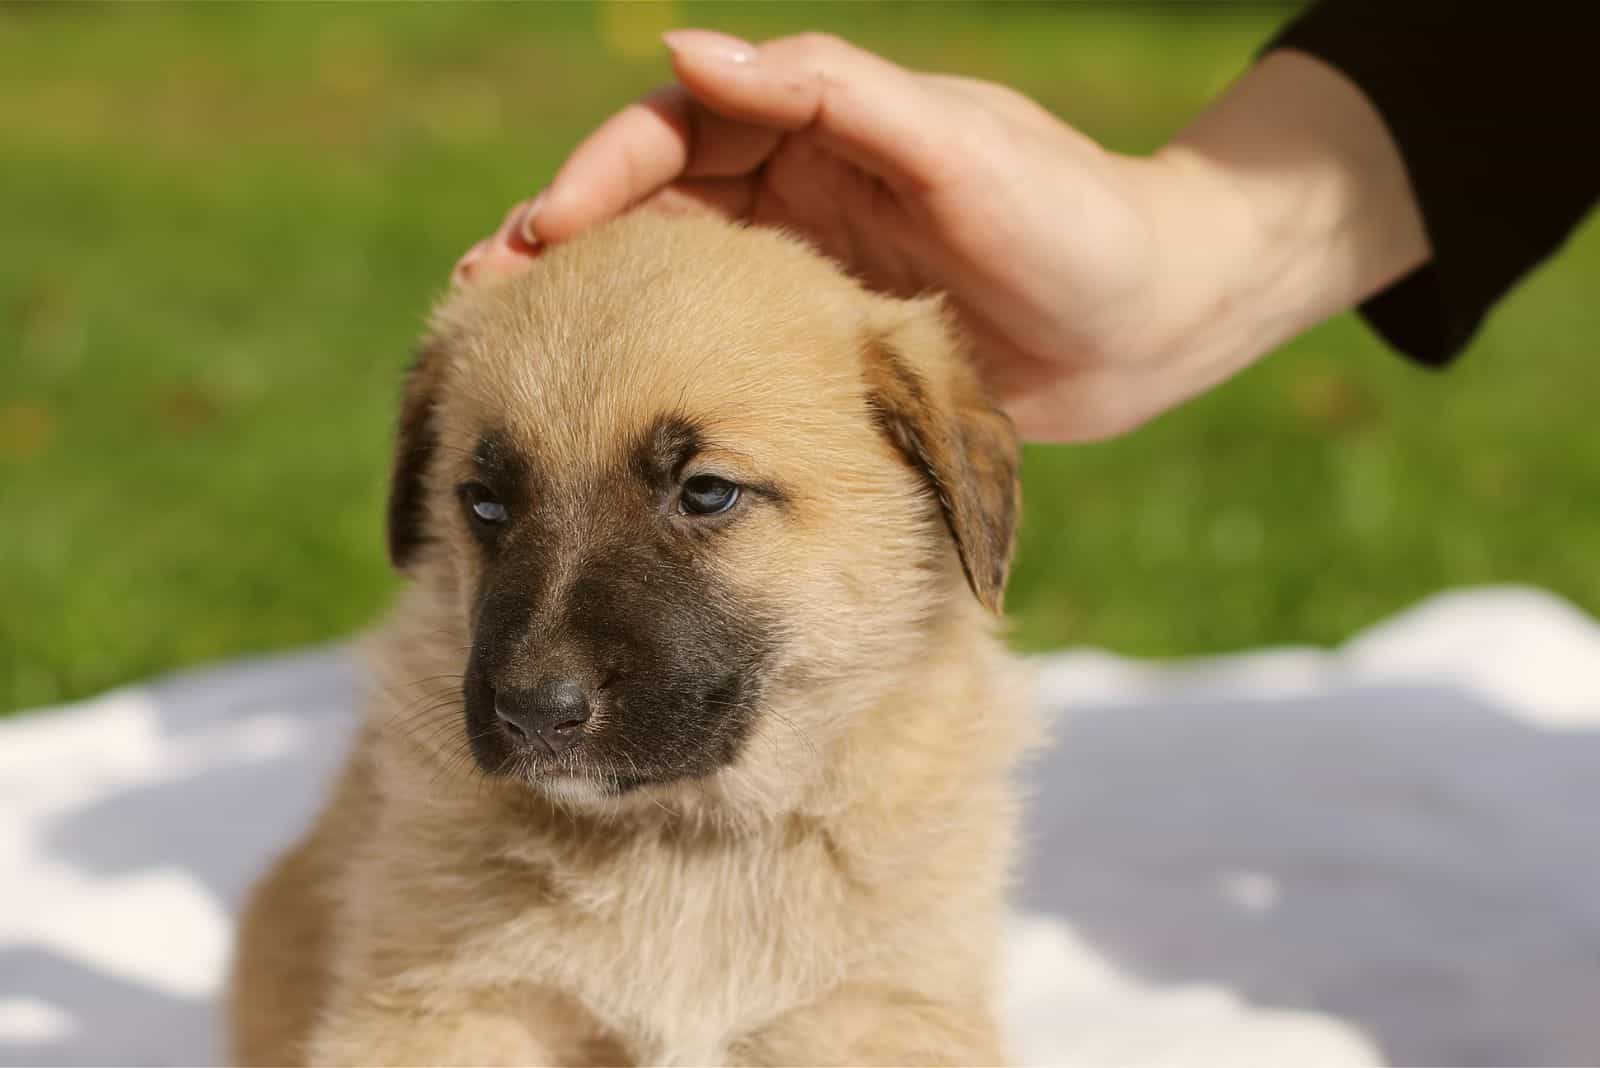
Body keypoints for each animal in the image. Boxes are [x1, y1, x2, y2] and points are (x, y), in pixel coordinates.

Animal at [225, 212, 1030, 1061]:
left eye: (706, 492)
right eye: (484, 502)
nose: (533, 713)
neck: (687, 840)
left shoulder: (874, 1011)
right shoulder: (450, 1007)